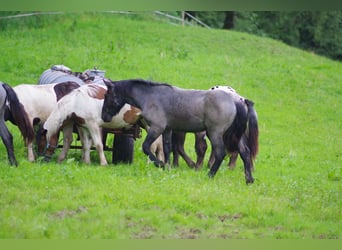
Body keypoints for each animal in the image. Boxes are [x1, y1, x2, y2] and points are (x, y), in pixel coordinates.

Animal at [101, 79, 260, 185]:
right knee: (245, 153)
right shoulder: (167, 129)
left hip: (215, 133)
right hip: (234, 135)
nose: (104, 117)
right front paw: (167, 167)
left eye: (107, 96)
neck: (151, 96)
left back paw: (209, 175)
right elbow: (167, 149)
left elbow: (146, 147)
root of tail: (238, 100)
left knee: (221, 153)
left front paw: (160, 164)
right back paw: (249, 179)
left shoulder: (157, 128)